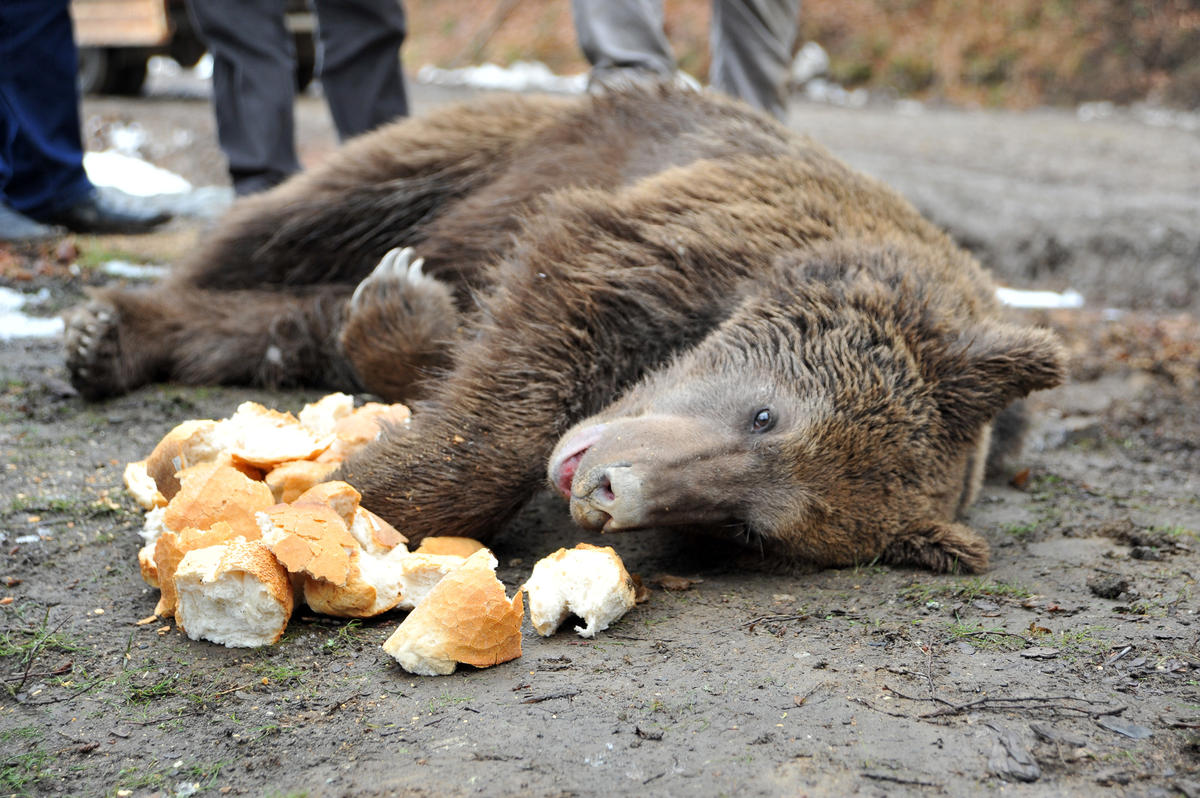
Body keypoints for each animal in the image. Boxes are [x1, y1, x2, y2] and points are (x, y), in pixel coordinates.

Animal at [63, 85, 1060, 573]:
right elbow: (542, 324)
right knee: (281, 226)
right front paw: (354, 497)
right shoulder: (670, 237)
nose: (612, 490)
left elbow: (443, 337)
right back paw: (105, 324)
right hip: (481, 151)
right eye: (765, 415)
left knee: (287, 313)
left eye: (747, 530)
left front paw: (396, 321)